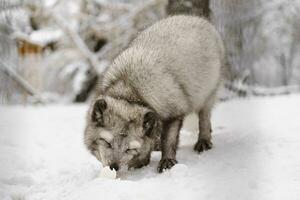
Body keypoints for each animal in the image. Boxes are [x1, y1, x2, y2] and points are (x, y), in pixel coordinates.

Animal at [84, 15, 225, 172]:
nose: (113, 168)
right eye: (107, 143)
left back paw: (204, 140)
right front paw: (143, 161)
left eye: (129, 149)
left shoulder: (175, 112)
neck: (131, 92)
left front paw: (167, 161)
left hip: (207, 94)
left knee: (204, 118)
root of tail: (197, 18)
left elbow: (168, 140)